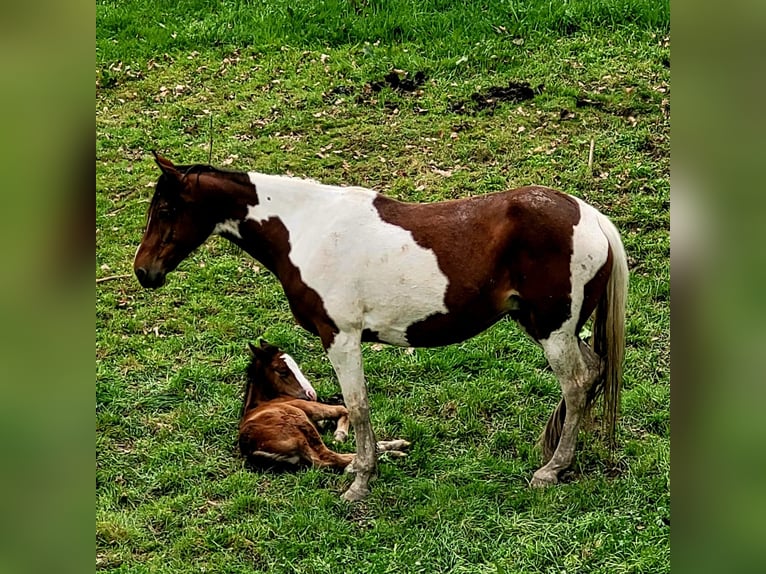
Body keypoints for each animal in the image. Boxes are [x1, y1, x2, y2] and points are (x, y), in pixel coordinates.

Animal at [239, 339, 410, 470]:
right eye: (282, 371)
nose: (312, 394)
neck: (264, 401)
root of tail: (251, 448)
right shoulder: (308, 406)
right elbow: (343, 409)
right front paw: (340, 434)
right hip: (300, 423)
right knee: (330, 457)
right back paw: (392, 452)